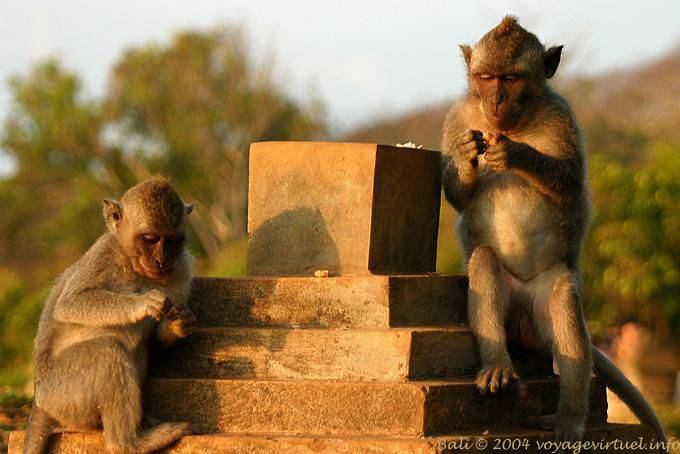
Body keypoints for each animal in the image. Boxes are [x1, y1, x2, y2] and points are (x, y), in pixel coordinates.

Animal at [22, 176, 198, 454]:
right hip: (61, 393)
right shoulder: (103, 254)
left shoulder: (182, 270)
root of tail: (38, 400)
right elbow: (70, 303)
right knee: (107, 352)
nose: (161, 261)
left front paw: (180, 323)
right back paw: (129, 443)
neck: (135, 265)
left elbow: (156, 339)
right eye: (150, 238)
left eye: (171, 241)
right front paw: (142, 303)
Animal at [440, 16, 665, 442]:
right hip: (509, 300)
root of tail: (524, 320)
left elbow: (571, 183)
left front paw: (516, 153)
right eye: (486, 77)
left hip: (546, 294)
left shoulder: (562, 115)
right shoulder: (456, 118)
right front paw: (465, 154)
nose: (495, 101)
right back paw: (497, 367)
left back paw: (569, 418)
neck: (516, 122)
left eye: (511, 78)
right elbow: (458, 195)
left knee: (565, 307)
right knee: (485, 263)